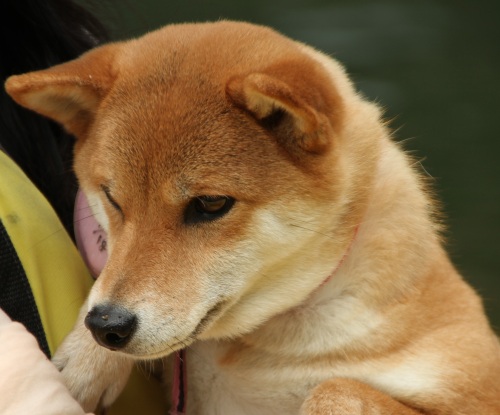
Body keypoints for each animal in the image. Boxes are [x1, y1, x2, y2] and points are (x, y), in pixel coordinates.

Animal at [4, 21, 500, 415]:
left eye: (210, 204)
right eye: (111, 198)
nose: (108, 326)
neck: (257, 345)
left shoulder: (470, 389)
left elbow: (334, 389)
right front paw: (86, 360)